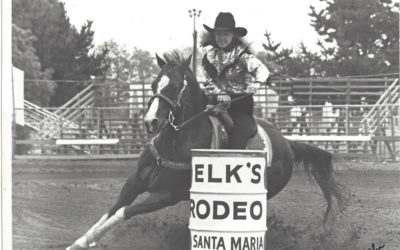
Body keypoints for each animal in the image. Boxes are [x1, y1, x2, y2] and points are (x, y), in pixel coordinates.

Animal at [67, 51, 346, 249]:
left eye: (174, 86)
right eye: (154, 84)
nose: (150, 122)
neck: (175, 142)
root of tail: (287, 143)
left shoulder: (166, 194)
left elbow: (124, 212)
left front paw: (89, 239)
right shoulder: (135, 181)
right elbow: (112, 210)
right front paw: (81, 241)